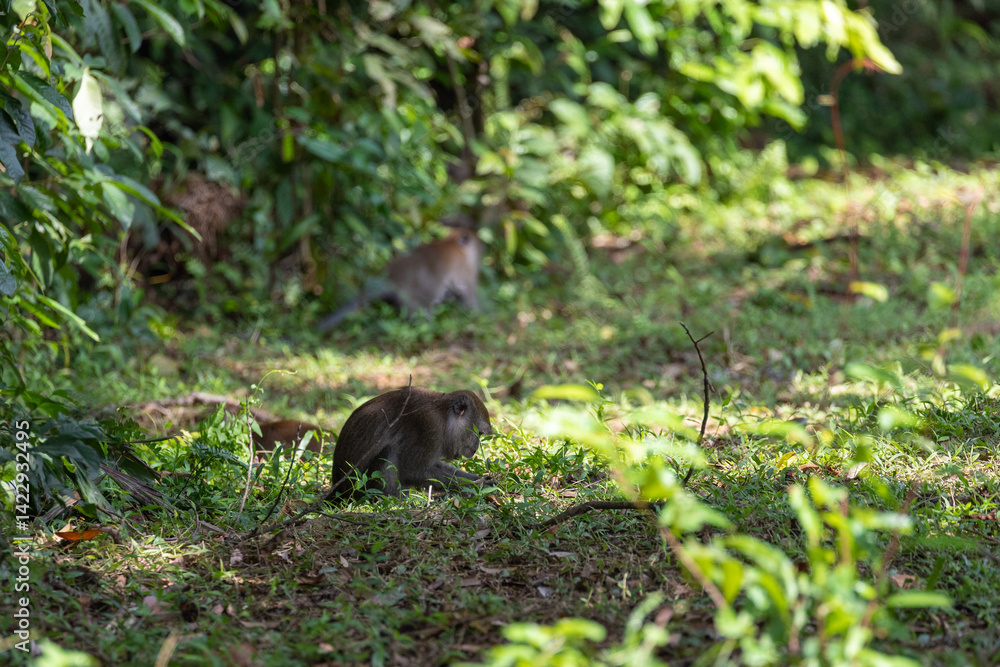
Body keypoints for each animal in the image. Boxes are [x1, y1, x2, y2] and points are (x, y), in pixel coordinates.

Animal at [318, 228, 482, 332]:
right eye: (476, 241)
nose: (482, 246)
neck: (452, 243)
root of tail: (389, 277)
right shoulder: (465, 271)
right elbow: (468, 294)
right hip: (413, 297)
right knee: (423, 309)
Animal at [328, 387, 493, 500]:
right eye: (478, 433)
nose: (476, 447)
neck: (443, 415)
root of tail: (337, 492)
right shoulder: (429, 425)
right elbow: (413, 470)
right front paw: (477, 486)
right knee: (389, 452)